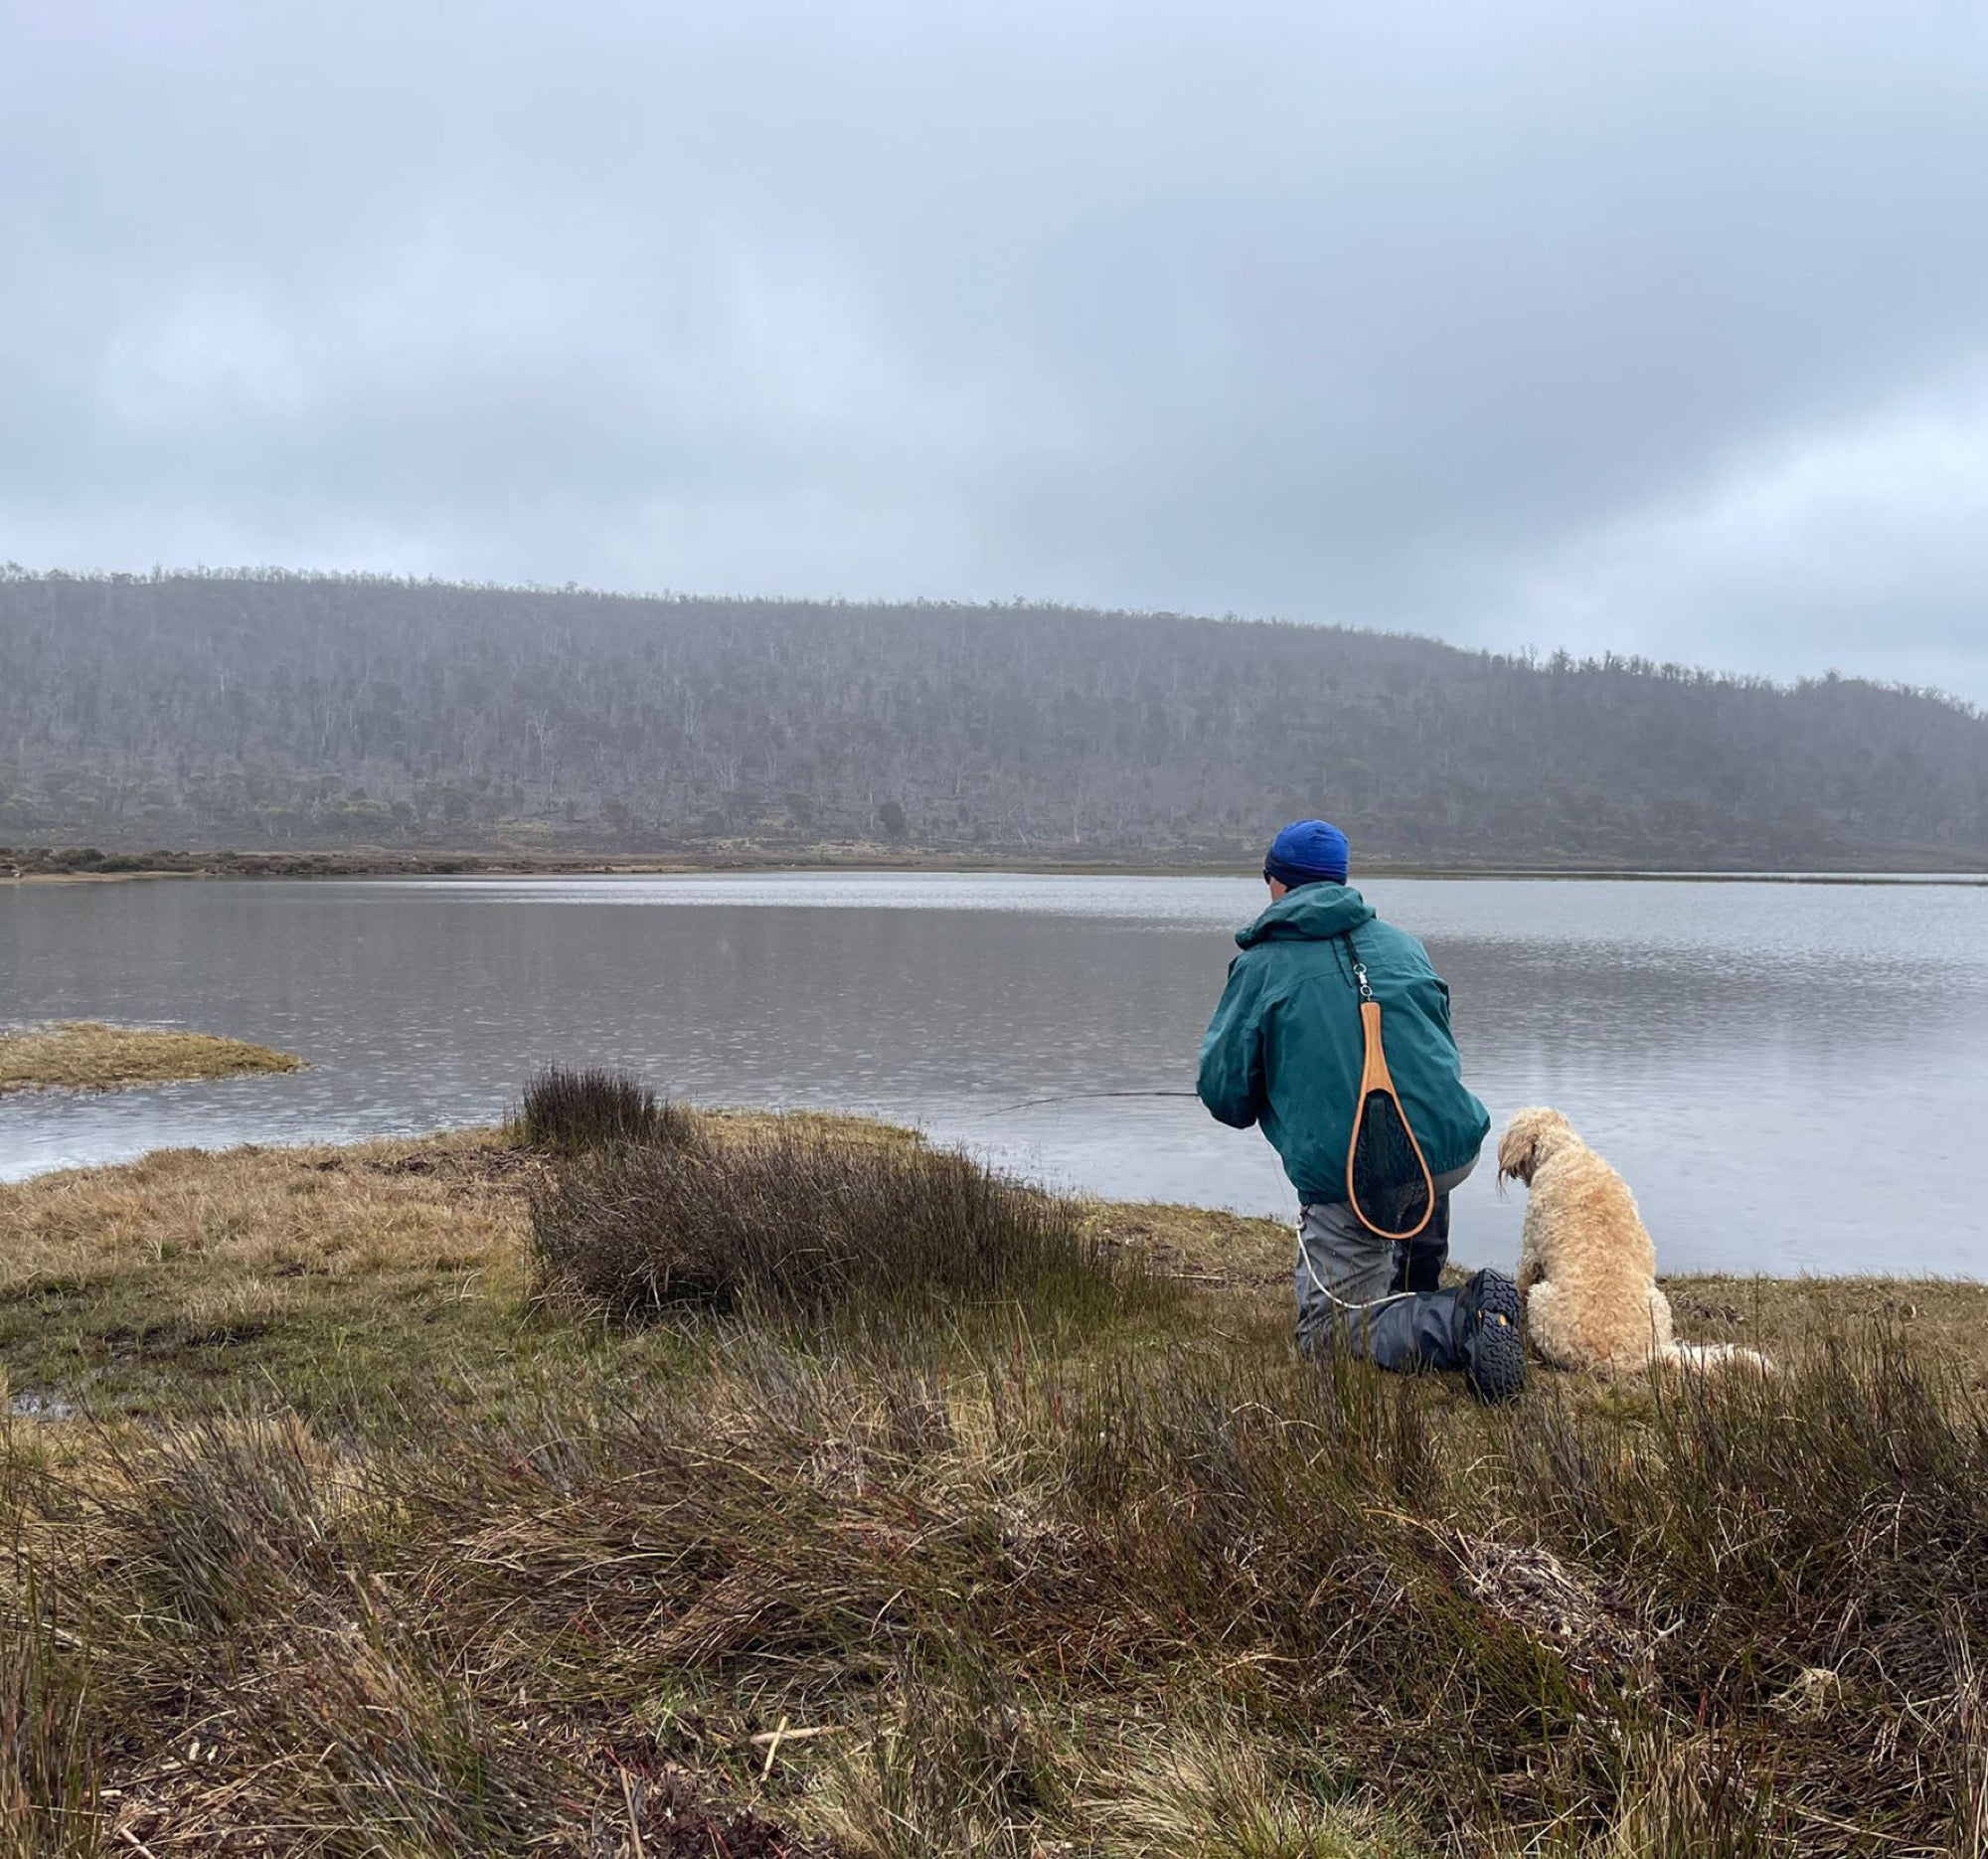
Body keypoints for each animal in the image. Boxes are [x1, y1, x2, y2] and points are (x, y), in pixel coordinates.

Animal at [1495, 1105, 1765, 1384]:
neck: (1563, 1151)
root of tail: (1637, 1356)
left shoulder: (1531, 1249)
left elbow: (1522, 1280)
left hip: (1541, 1300)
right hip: (1659, 1303)